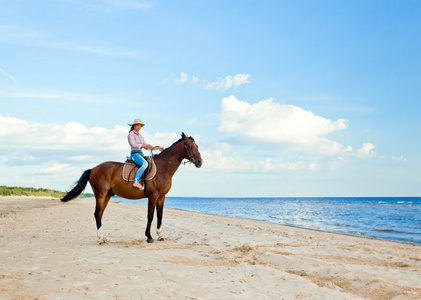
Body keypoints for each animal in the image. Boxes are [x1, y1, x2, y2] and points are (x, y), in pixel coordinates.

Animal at [60, 133, 202, 244]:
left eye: (197, 146)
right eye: (189, 146)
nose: (200, 162)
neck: (163, 167)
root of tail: (93, 169)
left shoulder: (161, 197)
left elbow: (160, 215)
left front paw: (160, 235)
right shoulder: (153, 196)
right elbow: (150, 216)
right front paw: (149, 237)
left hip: (107, 195)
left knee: (100, 214)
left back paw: (103, 237)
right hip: (100, 194)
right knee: (97, 213)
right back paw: (101, 238)